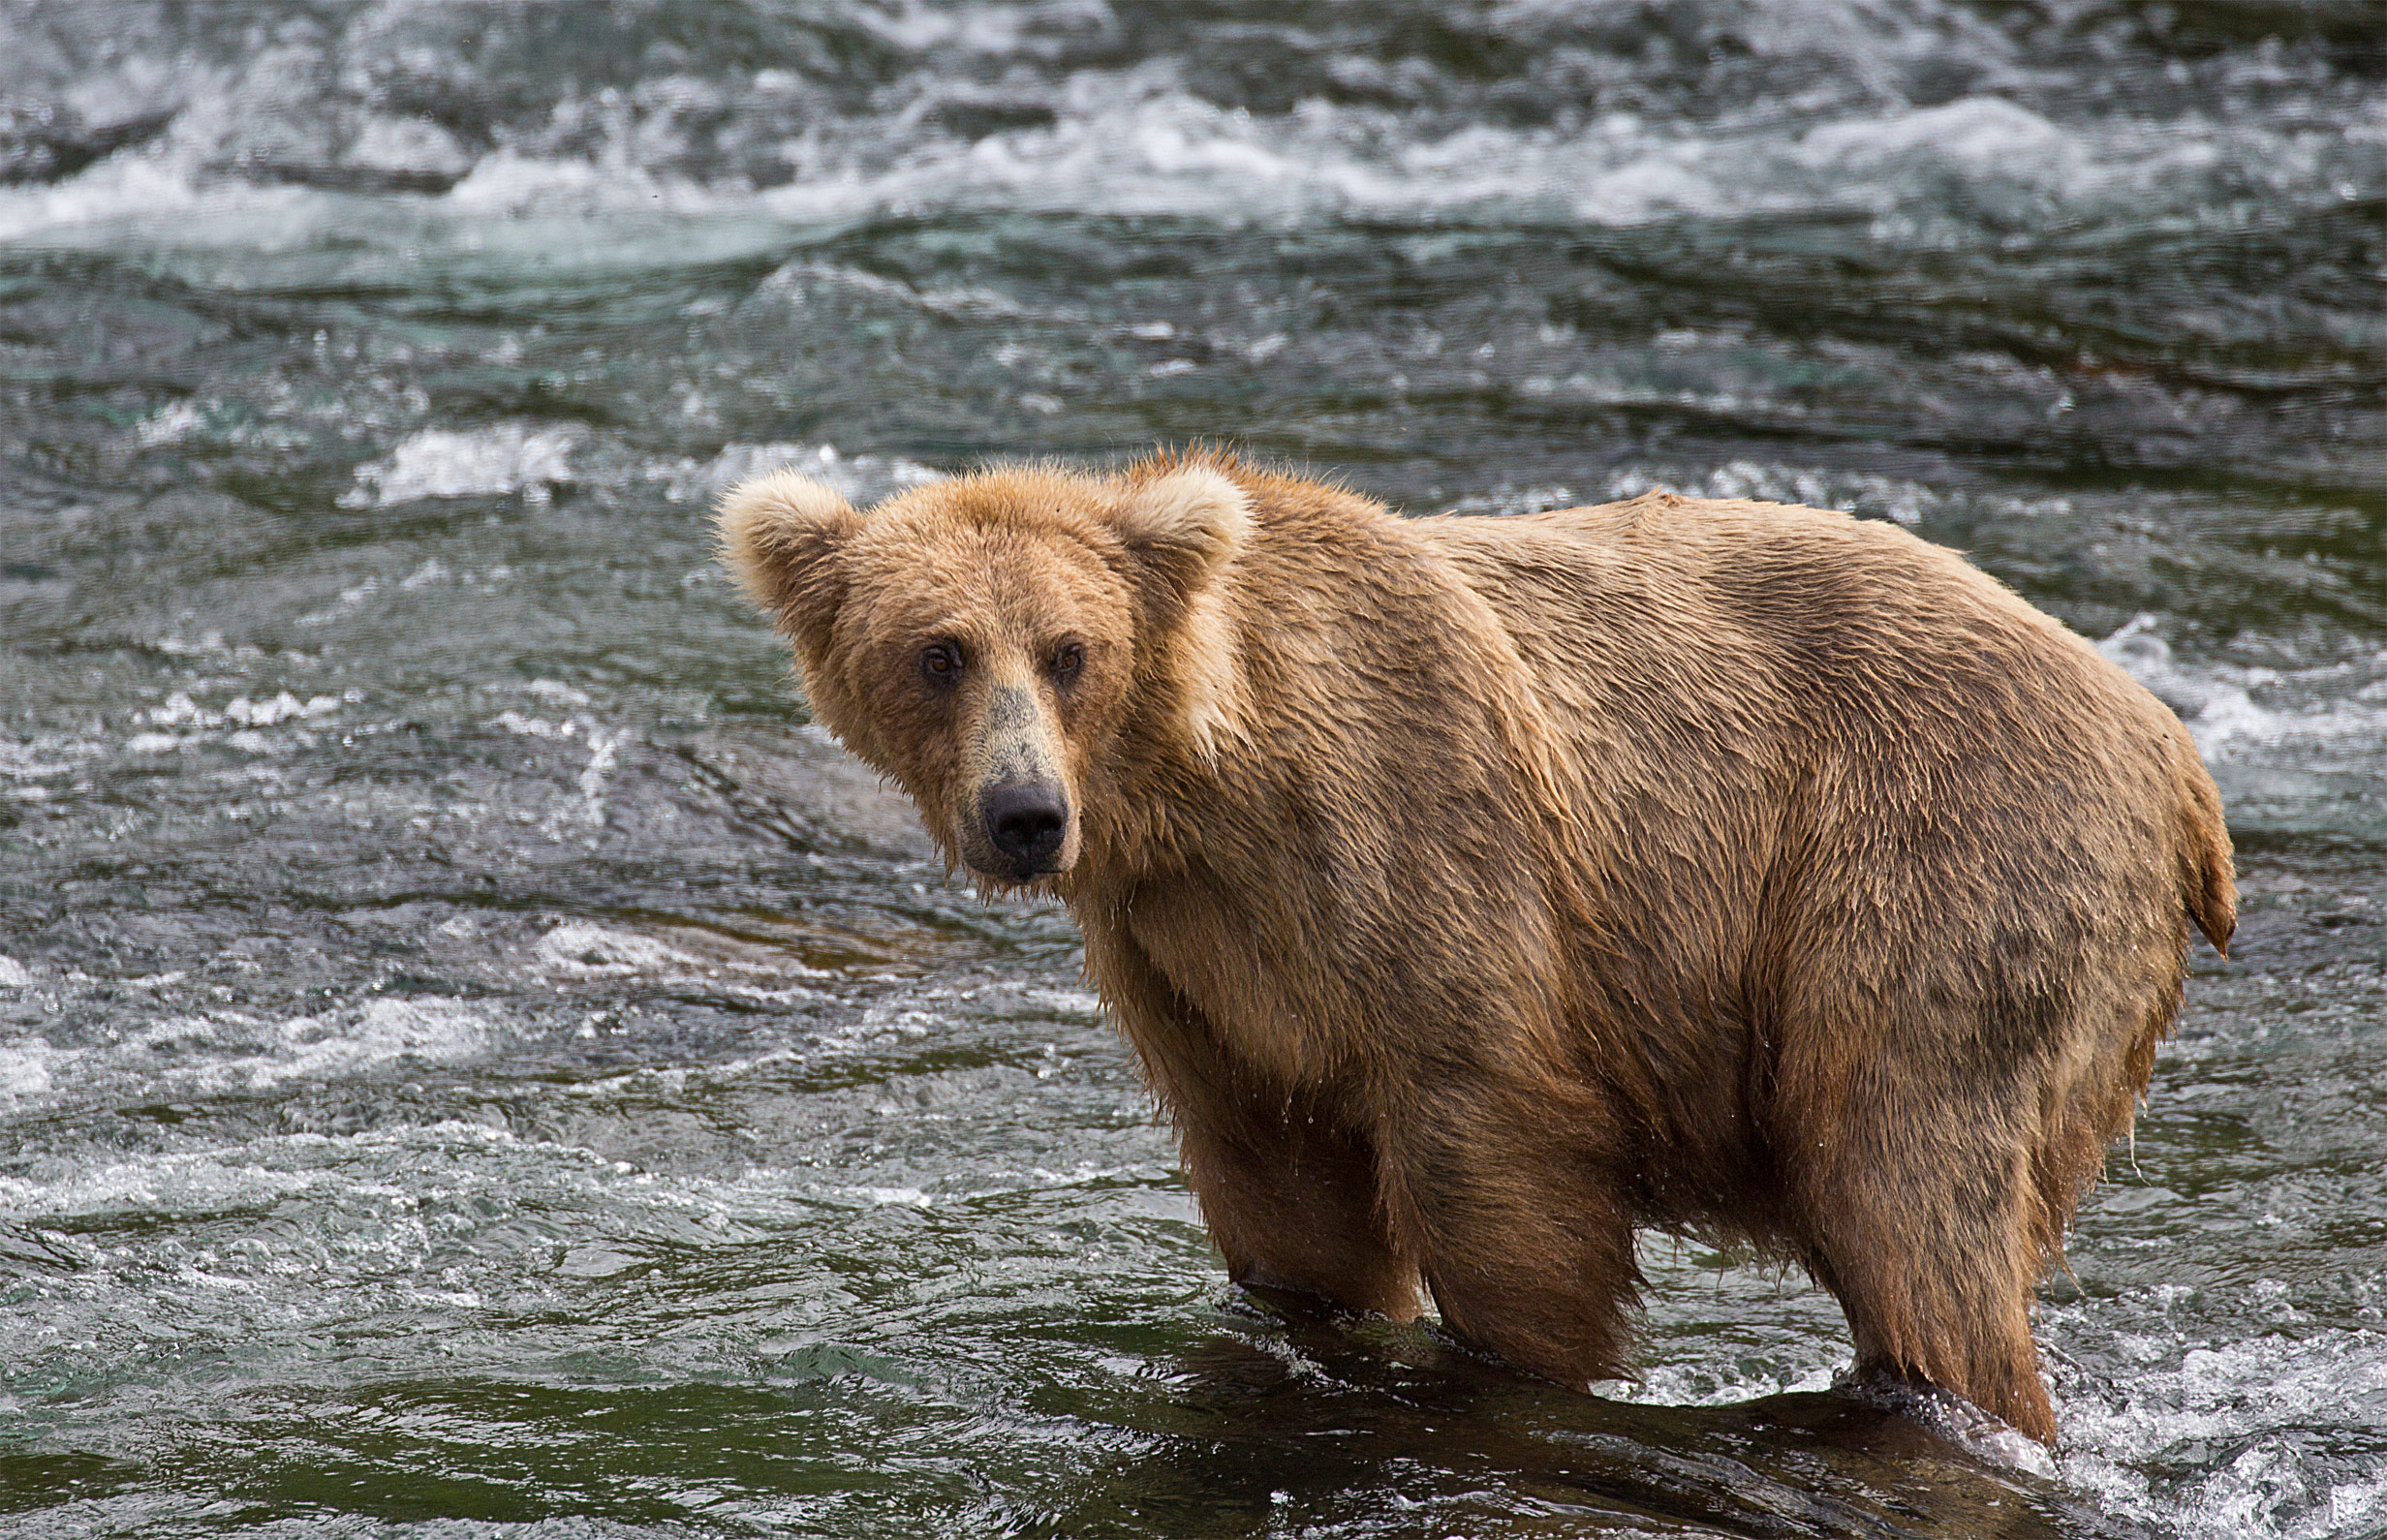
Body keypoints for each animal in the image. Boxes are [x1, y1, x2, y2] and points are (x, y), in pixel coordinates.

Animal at [716, 450, 2234, 1445]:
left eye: (1069, 648)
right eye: (938, 651)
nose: (1025, 815)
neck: (1213, 788)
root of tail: (2171, 748)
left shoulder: (1425, 855)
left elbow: (1497, 1163)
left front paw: (1527, 1369)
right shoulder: (1193, 966)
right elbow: (1285, 1198)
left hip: (1929, 862)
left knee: (1905, 1177)